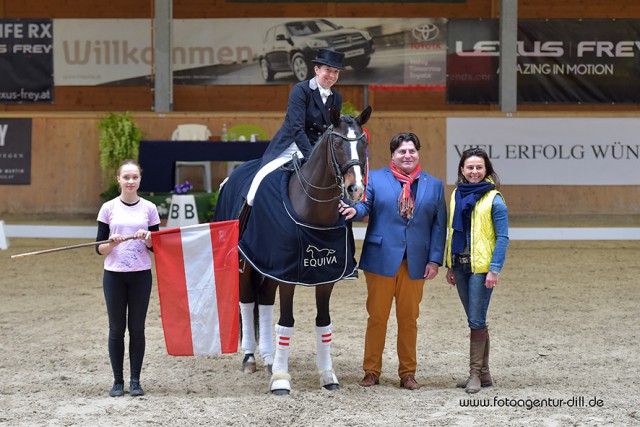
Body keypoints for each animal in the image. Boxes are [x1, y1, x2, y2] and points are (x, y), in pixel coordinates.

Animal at [215, 105, 372, 396]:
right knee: (247, 302)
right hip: (245, 264)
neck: (313, 209)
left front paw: (327, 375)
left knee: (264, 302)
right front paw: (281, 380)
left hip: (268, 266)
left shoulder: (322, 277)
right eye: (337, 143)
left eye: (363, 142)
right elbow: (286, 323)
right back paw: (250, 358)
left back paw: (268, 358)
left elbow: (324, 322)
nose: (355, 189)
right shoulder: (288, 276)